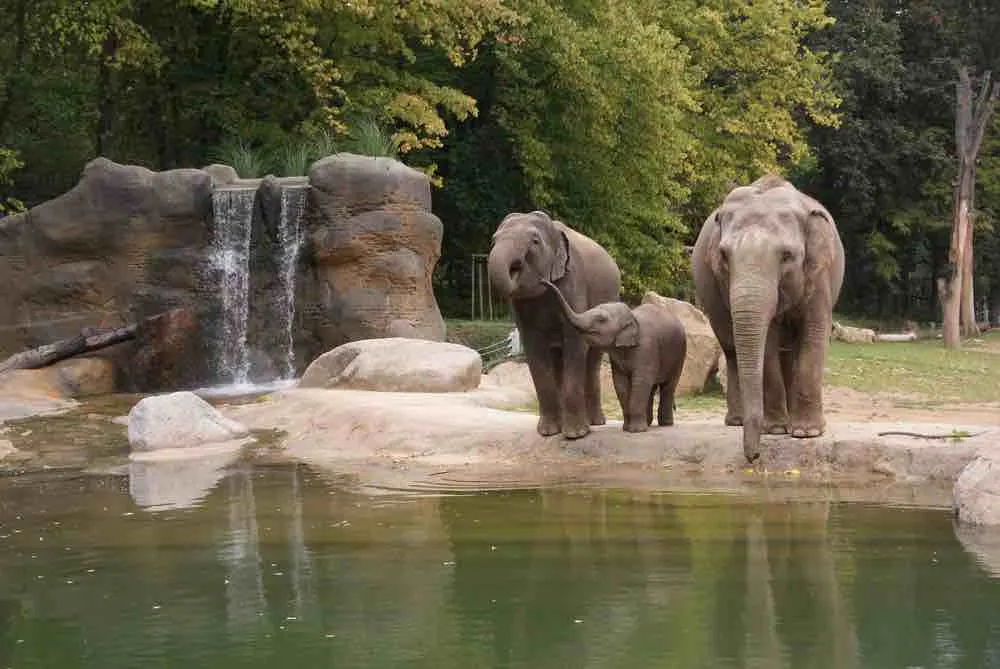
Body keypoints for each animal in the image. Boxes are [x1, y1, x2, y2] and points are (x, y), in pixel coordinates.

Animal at [488, 210, 620, 438]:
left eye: (535, 241)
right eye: (494, 240)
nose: (544, 281)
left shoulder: (573, 281)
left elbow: (575, 341)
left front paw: (575, 435)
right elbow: (534, 347)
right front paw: (548, 433)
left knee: (592, 359)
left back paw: (595, 423)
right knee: (559, 358)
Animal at [540, 280, 688, 430]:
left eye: (601, 319)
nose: (543, 281)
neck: (631, 316)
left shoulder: (647, 348)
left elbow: (640, 381)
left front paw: (635, 430)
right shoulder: (616, 357)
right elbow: (620, 383)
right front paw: (627, 428)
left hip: (680, 353)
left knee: (668, 387)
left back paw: (665, 424)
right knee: (652, 388)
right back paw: (648, 422)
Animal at [696, 175, 844, 462]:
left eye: (787, 256)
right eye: (724, 255)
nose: (753, 457)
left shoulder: (819, 273)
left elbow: (814, 333)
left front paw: (807, 434)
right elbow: (768, 342)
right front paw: (775, 430)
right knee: (731, 350)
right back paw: (738, 421)